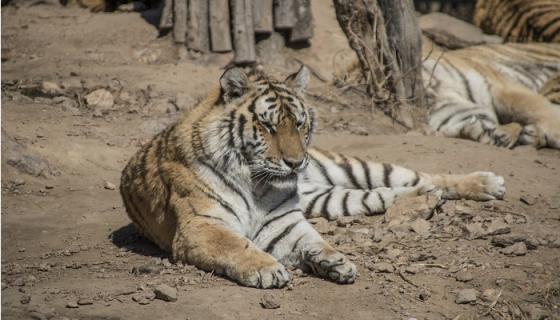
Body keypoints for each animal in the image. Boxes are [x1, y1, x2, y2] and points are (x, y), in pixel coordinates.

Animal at [121, 66, 508, 288]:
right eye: (268, 126)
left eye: (299, 123)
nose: (295, 163)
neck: (257, 183)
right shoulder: (201, 226)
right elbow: (235, 245)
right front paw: (268, 269)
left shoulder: (284, 222)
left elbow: (315, 241)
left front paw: (335, 260)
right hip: (333, 197)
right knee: (391, 191)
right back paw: (422, 199)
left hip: (354, 167)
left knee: (424, 175)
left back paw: (487, 183)